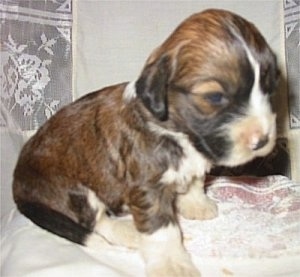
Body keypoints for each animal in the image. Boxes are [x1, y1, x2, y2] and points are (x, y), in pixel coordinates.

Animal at [12, 9, 280, 276]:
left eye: (268, 88)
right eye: (214, 97)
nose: (263, 140)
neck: (175, 130)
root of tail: (18, 190)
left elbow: (194, 180)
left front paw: (197, 204)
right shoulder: (148, 187)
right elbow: (162, 230)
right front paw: (173, 265)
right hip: (75, 190)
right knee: (97, 220)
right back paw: (129, 232)